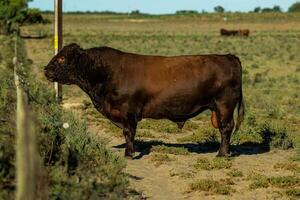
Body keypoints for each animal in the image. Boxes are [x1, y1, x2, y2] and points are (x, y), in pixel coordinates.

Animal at [45, 43, 246, 158]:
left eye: (61, 58)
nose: (46, 70)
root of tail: (229, 57)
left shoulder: (128, 111)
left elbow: (128, 133)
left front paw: (129, 153)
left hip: (224, 105)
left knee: (226, 128)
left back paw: (221, 154)